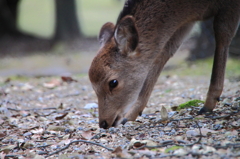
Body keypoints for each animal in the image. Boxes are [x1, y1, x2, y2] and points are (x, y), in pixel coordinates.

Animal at [88, 0, 240, 129]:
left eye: (113, 82)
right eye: (93, 86)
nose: (103, 123)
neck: (193, 7)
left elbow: (222, 33)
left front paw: (208, 105)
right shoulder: (185, 23)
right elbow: (165, 52)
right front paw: (131, 115)